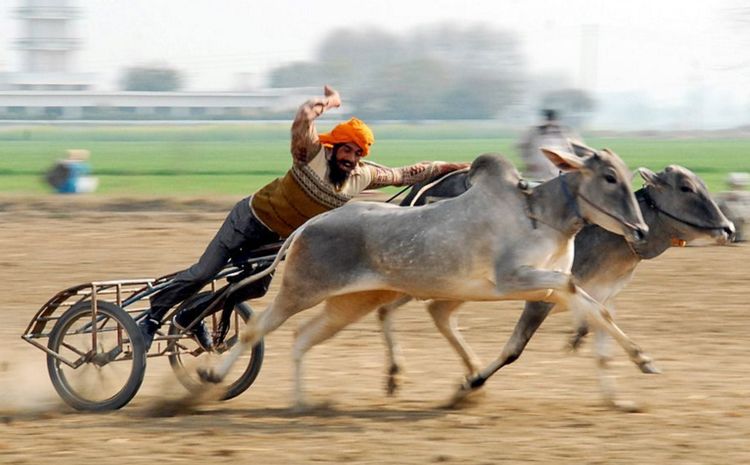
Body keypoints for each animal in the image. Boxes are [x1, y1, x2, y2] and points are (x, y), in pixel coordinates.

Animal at [201, 148, 652, 406]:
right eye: (609, 177)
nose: (642, 231)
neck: (539, 215)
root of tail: (308, 226)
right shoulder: (514, 279)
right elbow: (573, 292)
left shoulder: (546, 285)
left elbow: (594, 308)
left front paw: (641, 358)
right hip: (299, 291)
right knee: (255, 328)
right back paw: (213, 376)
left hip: (349, 303)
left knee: (302, 337)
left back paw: (302, 403)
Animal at [382, 157, 736, 410]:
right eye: (686, 188)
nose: (729, 229)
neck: (607, 234)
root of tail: (417, 193)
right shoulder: (541, 296)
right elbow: (514, 348)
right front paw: (470, 385)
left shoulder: (601, 297)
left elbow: (603, 343)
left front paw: (619, 396)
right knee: (394, 309)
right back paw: (404, 374)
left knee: (434, 313)